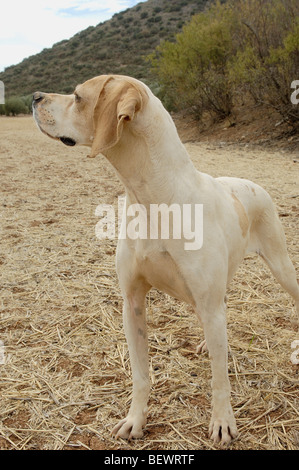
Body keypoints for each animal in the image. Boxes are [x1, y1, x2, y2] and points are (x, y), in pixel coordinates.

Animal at [31, 73, 298, 444]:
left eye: (78, 96)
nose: (35, 96)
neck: (152, 200)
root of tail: (252, 184)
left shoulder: (207, 303)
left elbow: (220, 380)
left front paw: (223, 421)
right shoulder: (132, 303)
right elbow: (140, 376)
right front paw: (135, 420)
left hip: (281, 266)